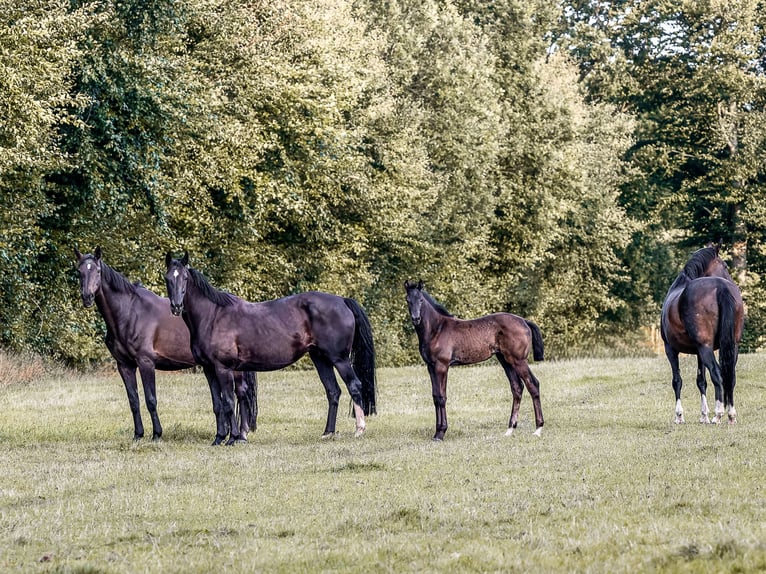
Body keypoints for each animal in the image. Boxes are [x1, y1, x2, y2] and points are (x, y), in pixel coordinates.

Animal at [75, 247, 257, 441]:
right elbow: (134, 401)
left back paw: (241, 435)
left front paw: (156, 434)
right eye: (79, 271)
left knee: (241, 393)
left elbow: (151, 400)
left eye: (97, 271)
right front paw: (138, 435)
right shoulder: (124, 365)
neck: (129, 313)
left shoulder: (146, 362)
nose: (87, 297)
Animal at [164, 252, 377, 445]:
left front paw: (232, 438)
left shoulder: (223, 368)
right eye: (168, 278)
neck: (213, 316)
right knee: (333, 391)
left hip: (339, 359)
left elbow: (229, 402)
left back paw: (359, 430)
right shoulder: (210, 369)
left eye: (185, 278)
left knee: (354, 385)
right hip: (320, 358)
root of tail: (343, 301)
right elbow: (218, 404)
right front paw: (219, 438)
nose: (176, 306)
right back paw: (328, 433)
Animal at [404, 280, 545, 440]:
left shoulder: (442, 366)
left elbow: (441, 397)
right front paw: (437, 432)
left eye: (421, 300)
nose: (416, 319)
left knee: (532, 384)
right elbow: (435, 397)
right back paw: (510, 429)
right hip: (505, 360)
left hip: (518, 360)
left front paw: (440, 433)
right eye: (408, 300)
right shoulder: (431, 367)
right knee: (517, 388)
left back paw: (538, 429)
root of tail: (524, 321)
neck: (437, 329)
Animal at [660, 242, 744, 424]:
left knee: (717, 374)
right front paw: (703, 415)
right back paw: (731, 415)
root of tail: (721, 287)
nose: (731, 280)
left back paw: (718, 414)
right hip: (731, 346)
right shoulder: (698, 352)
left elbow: (677, 380)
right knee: (730, 377)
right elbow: (701, 381)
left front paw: (679, 416)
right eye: (725, 265)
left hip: (705, 348)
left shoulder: (670, 349)